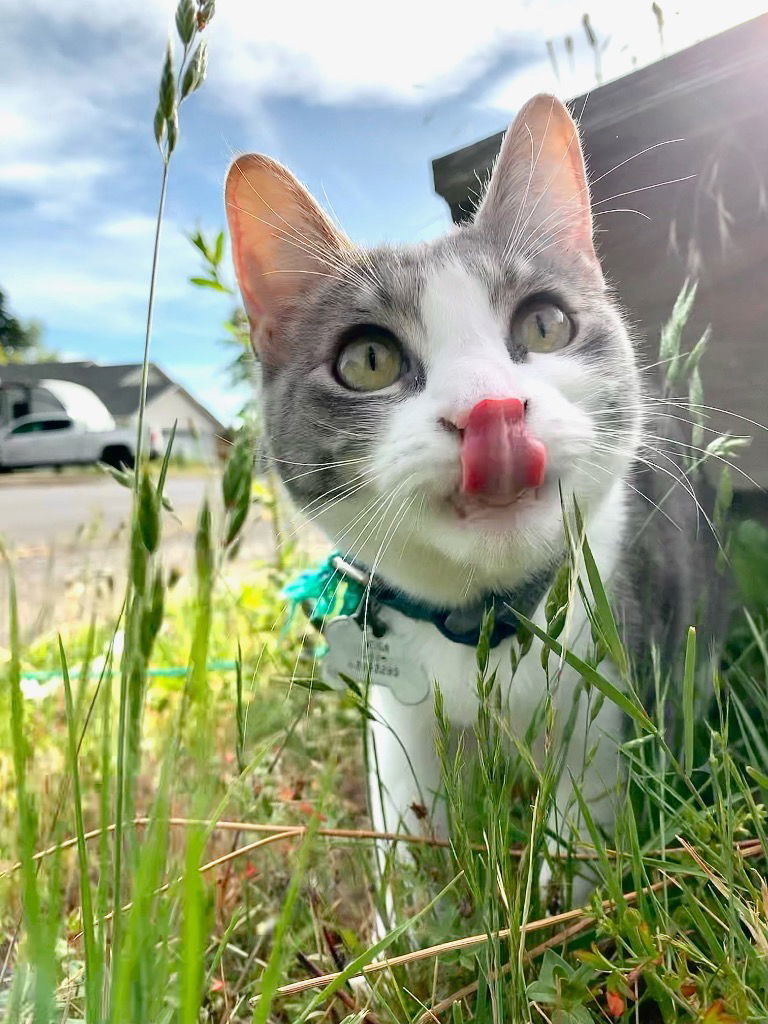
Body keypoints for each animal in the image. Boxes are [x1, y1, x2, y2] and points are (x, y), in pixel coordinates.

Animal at [225, 96, 720, 913]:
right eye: (368, 359)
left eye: (545, 324)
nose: (492, 410)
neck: (480, 620)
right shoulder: (396, 697)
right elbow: (407, 805)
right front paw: (419, 920)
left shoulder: (609, 665)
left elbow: (590, 802)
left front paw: (566, 905)